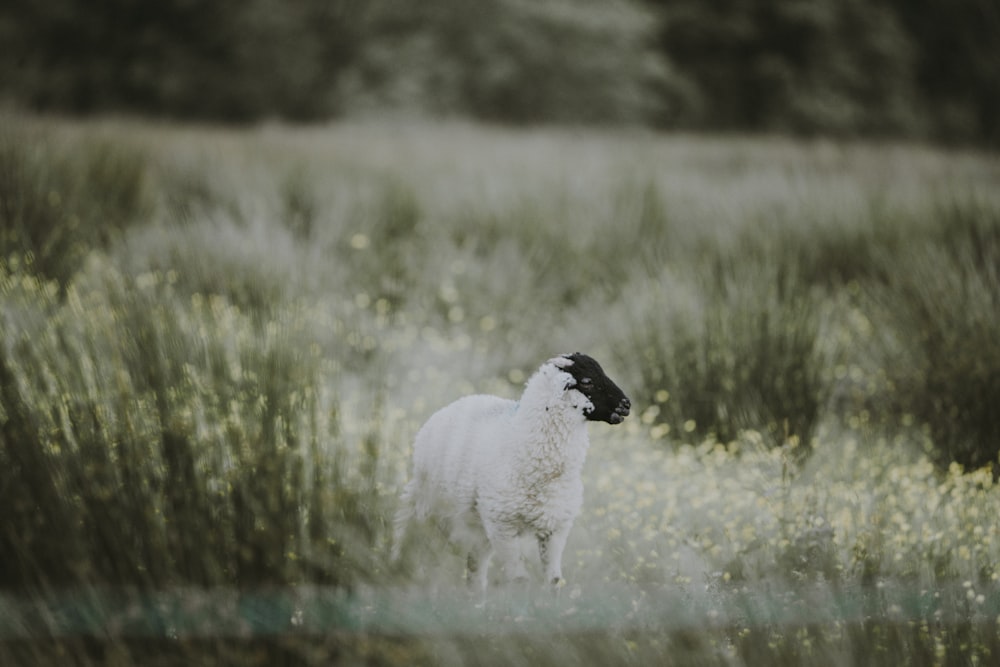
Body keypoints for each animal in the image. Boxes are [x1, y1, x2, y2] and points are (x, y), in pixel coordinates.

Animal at [388, 352, 628, 592]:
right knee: (420, 546)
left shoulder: (556, 526)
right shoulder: (503, 526)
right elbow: (520, 580)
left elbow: (553, 580)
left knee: (474, 568)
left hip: (479, 525)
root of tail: (456, 403)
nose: (626, 405)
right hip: (429, 507)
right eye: (587, 381)